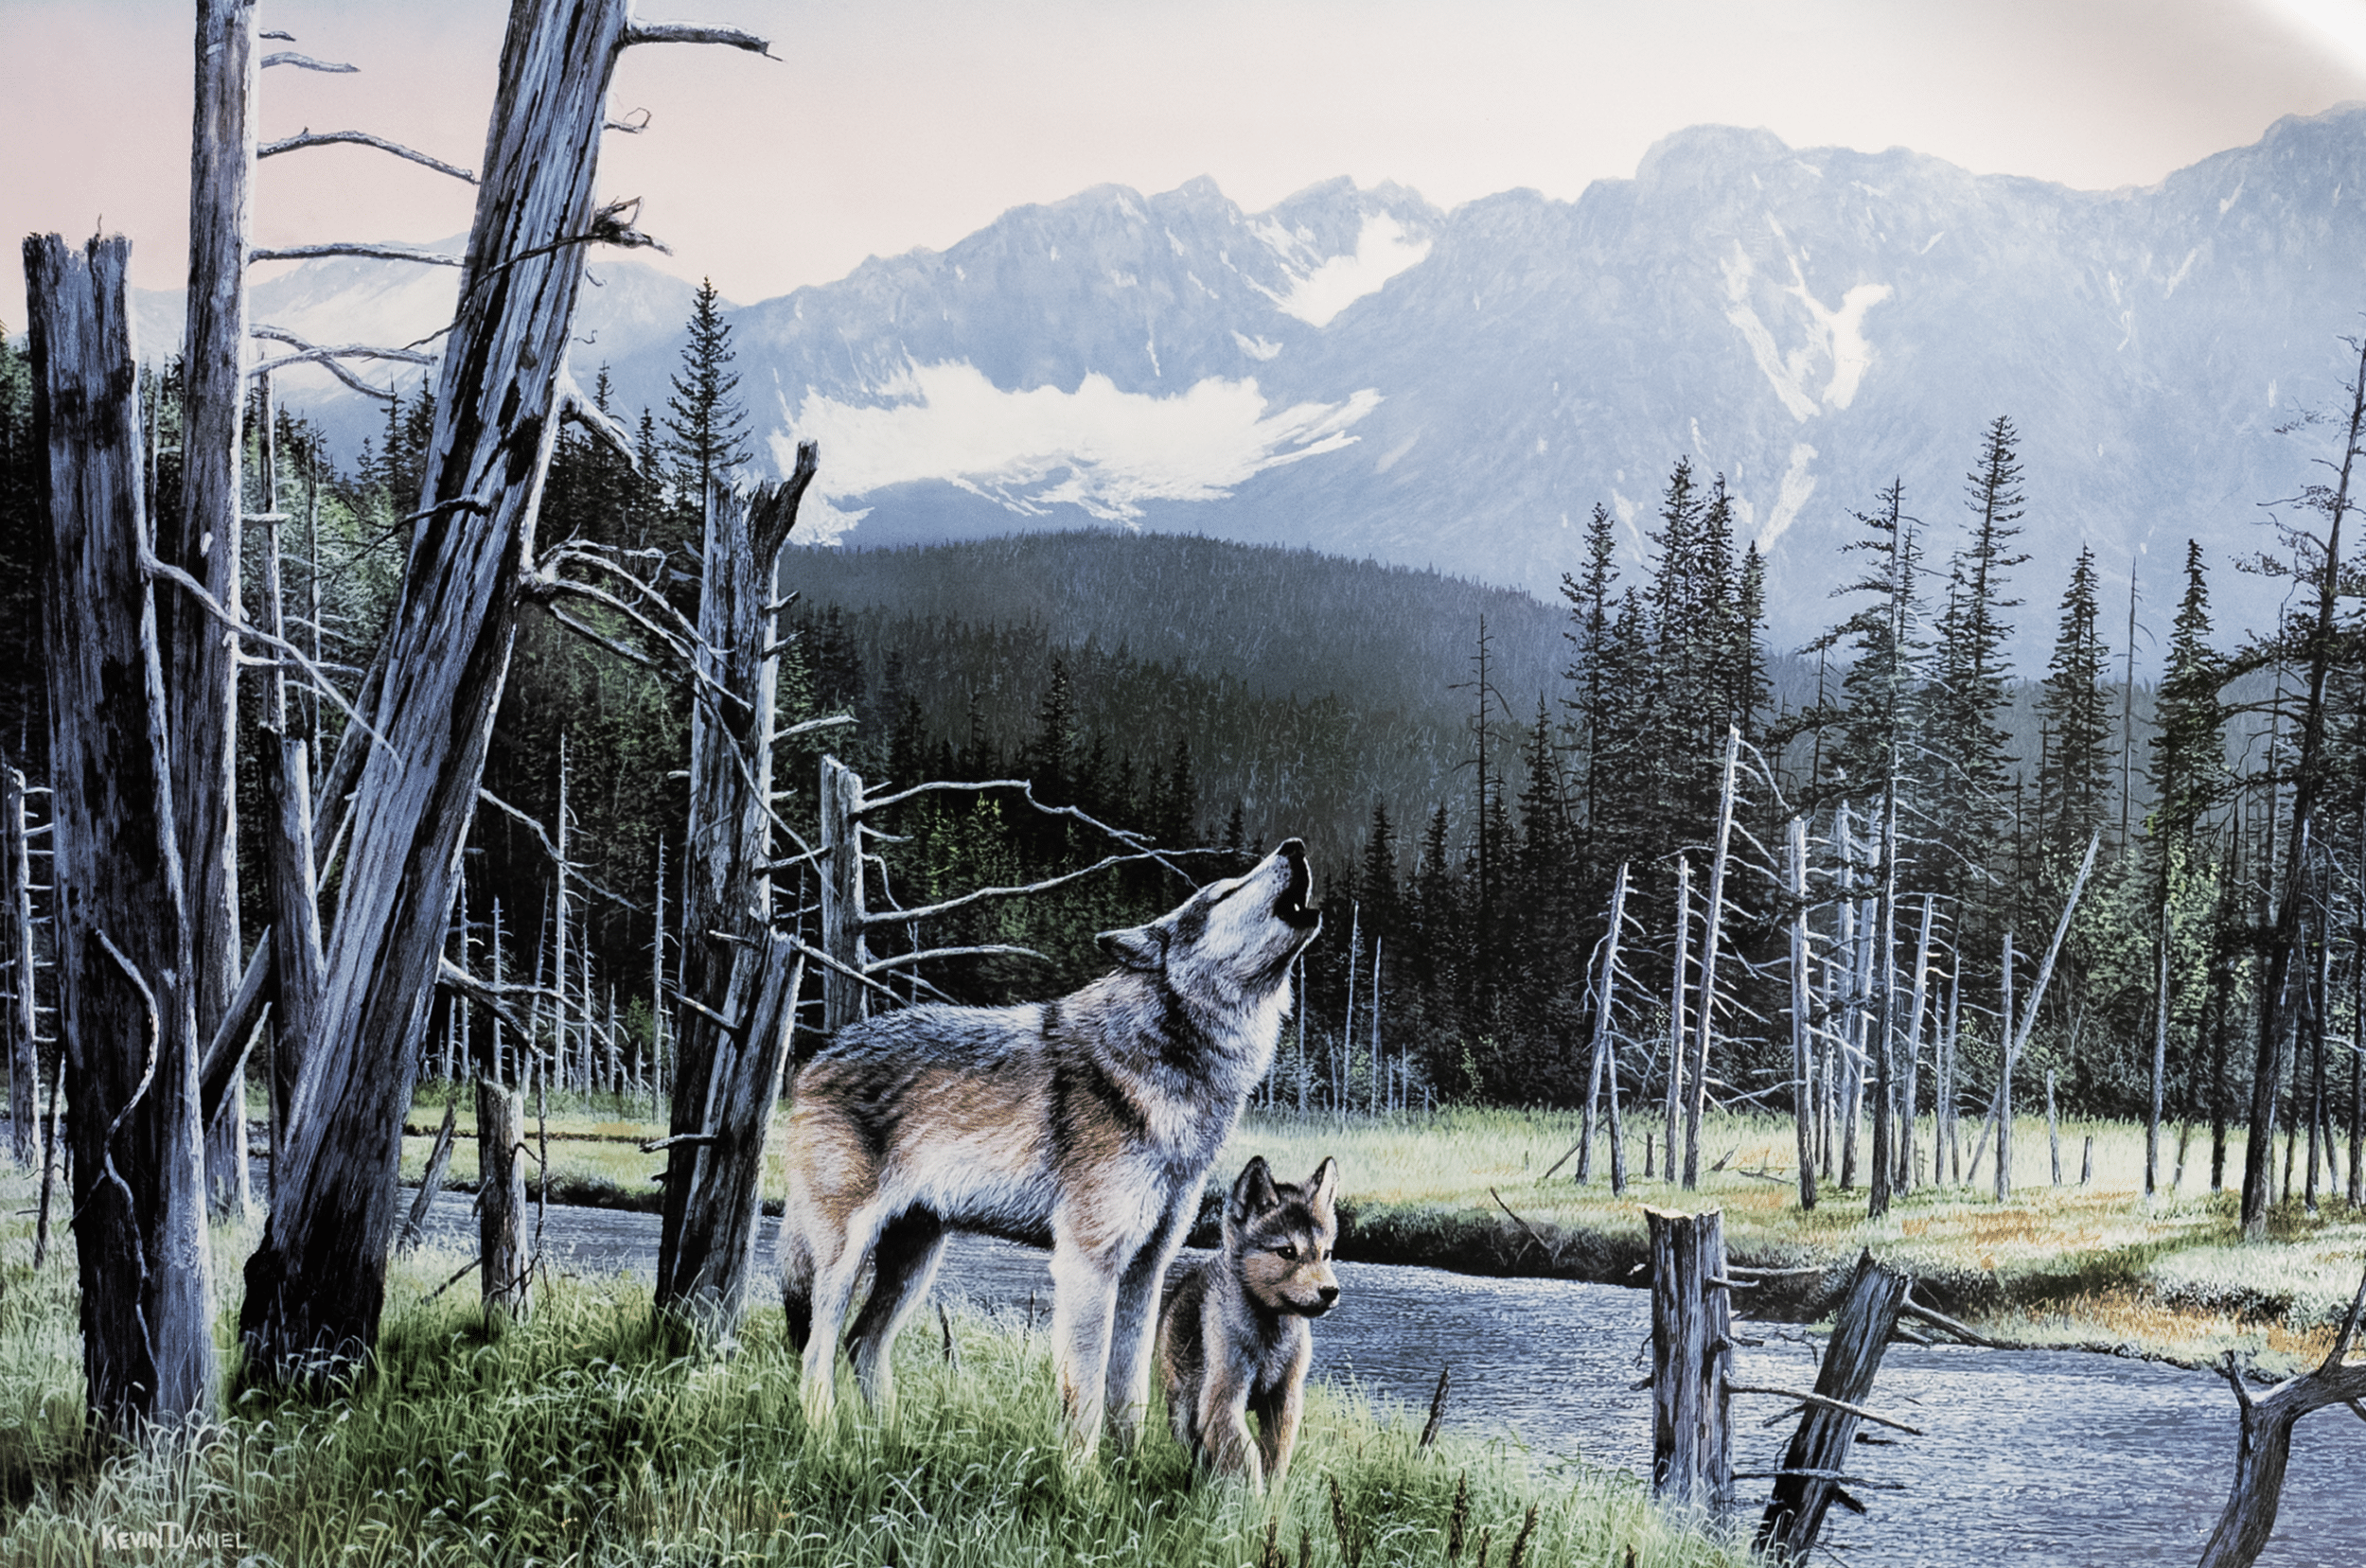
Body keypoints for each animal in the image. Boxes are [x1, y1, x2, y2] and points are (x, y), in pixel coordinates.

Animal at [778, 838, 1320, 1455]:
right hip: (844, 1260)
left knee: (861, 1344)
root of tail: (818, 1056)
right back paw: (826, 1440)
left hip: (915, 1263)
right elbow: (1084, 1395)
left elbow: (1128, 1393)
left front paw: (1128, 1472)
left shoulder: (1145, 1270)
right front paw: (1083, 1476)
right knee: (817, 1349)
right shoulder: (1088, 1264)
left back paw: (888, 1444)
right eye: (1228, 890)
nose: (1295, 846)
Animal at [1156, 1155, 1340, 1491]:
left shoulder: (1285, 1399)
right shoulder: (1222, 1401)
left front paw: (1273, 1501)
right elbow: (1247, 1457)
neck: (1269, 1337)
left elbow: (1276, 1459)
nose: (1330, 1292)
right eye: (1287, 1251)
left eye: (1326, 1254)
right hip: (1183, 1407)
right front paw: (1249, 1503)